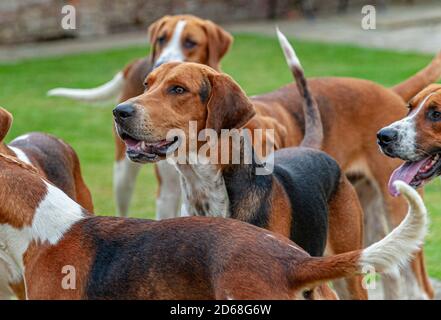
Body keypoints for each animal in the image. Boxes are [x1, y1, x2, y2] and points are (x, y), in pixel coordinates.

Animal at [47, 15, 234, 220]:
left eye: (190, 42)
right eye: (161, 39)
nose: (160, 65)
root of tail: (137, 62)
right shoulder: (167, 191)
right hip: (123, 175)